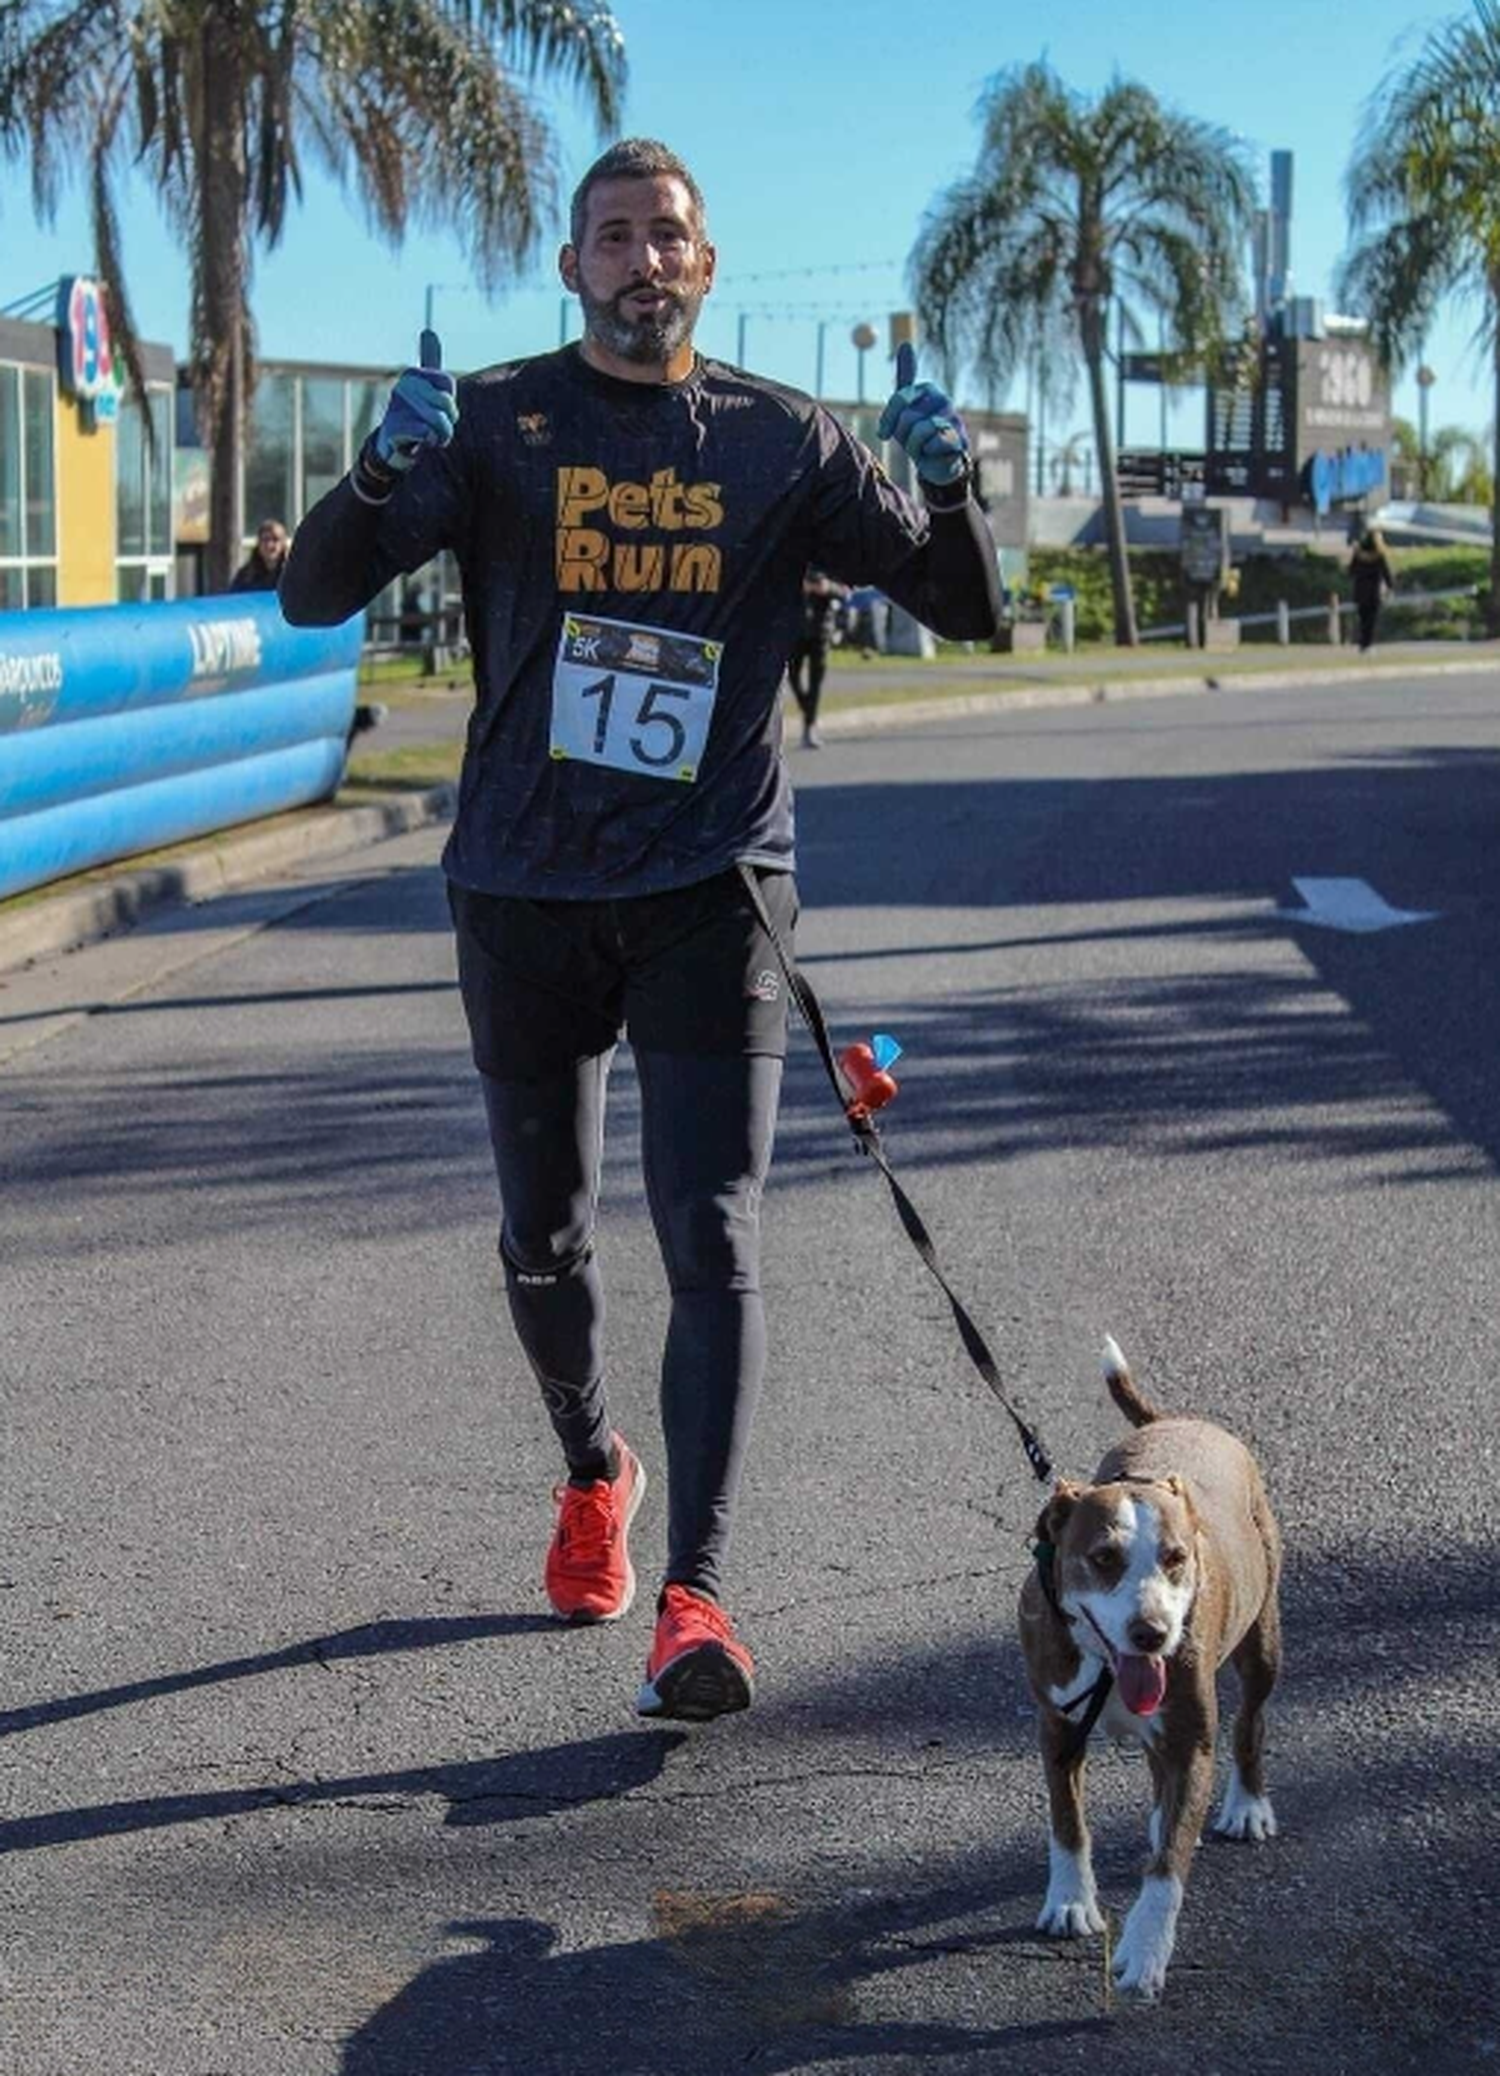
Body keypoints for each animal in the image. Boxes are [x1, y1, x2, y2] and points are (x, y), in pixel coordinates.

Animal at [1016, 1336, 1286, 2001]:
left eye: (1175, 1558)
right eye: (1103, 1557)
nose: (1152, 1632)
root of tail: (1178, 1422)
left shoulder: (1191, 1737)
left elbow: (1167, 1870)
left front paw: (1144, 1950)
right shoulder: (1057, 1725)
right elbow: (1067, 1822)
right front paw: (1070, 1903)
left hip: (1263, 1638)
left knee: (1251, 1721)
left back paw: (1246, 1805)